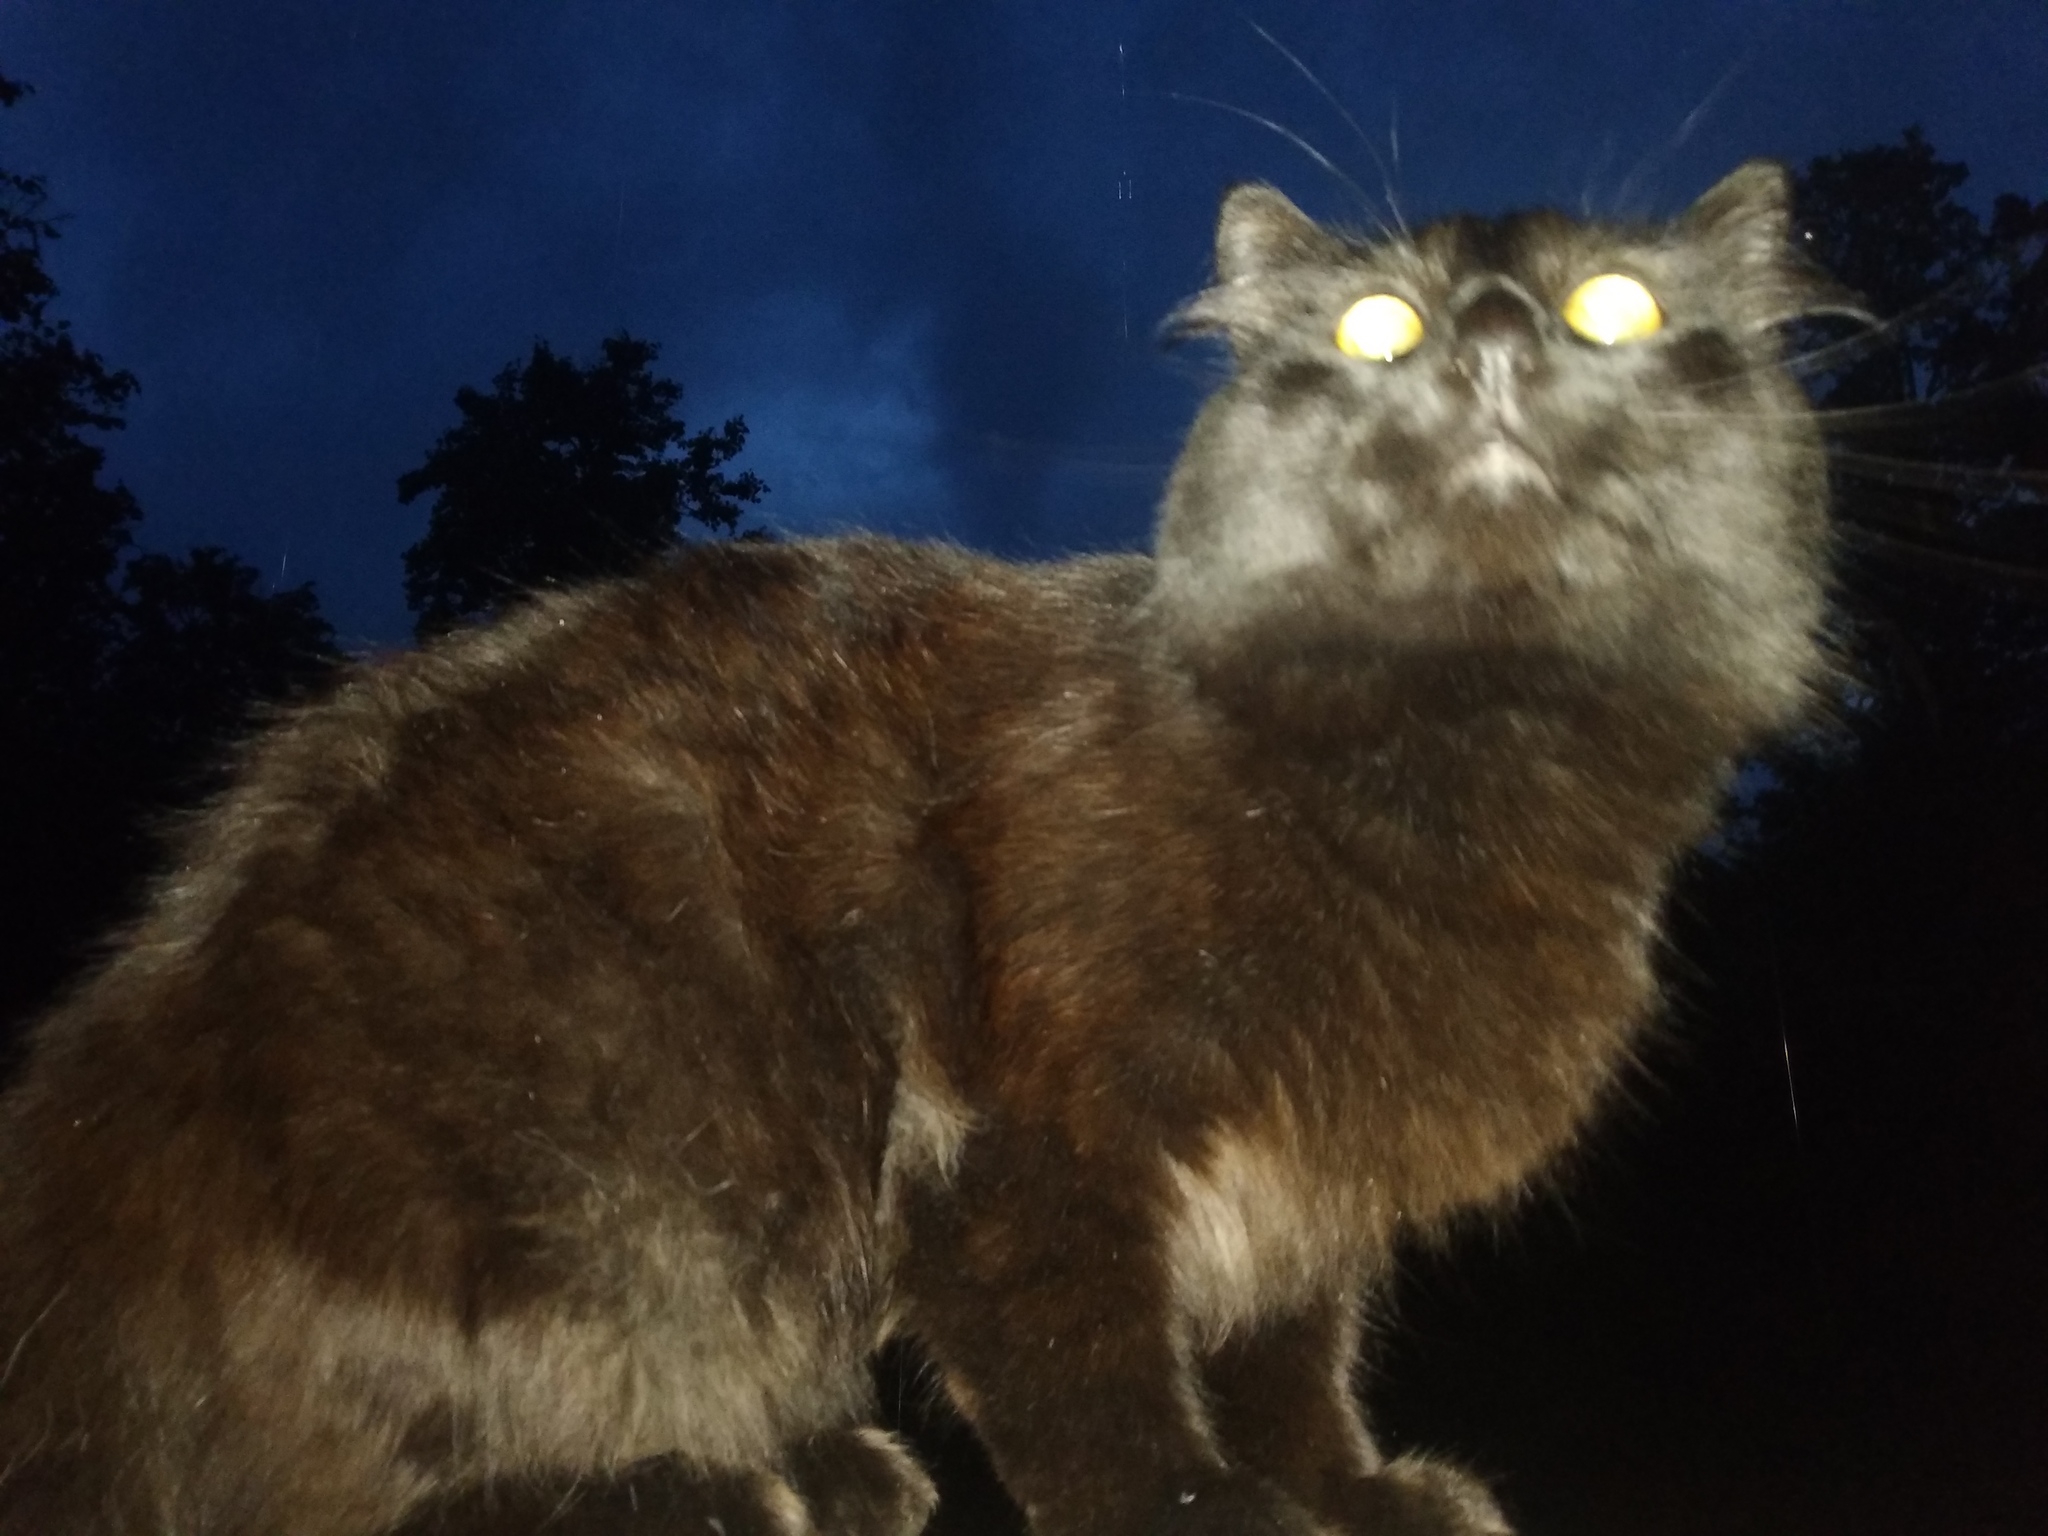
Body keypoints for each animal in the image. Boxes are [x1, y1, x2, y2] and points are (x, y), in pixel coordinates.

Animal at [0, 162, 1843, 1531]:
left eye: (1618, 307)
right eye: (1374, 325)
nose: (1492, 337)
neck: (1460, 759)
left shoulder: (1308, 1181)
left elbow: (1290, 1357)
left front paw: (1349, 1491)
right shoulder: (1030, 1146)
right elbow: (1095, 1373)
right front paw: (1196, 1508)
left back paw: (824, 1466)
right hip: (596, 1184)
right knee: (344, 1486)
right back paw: (705, 1489)